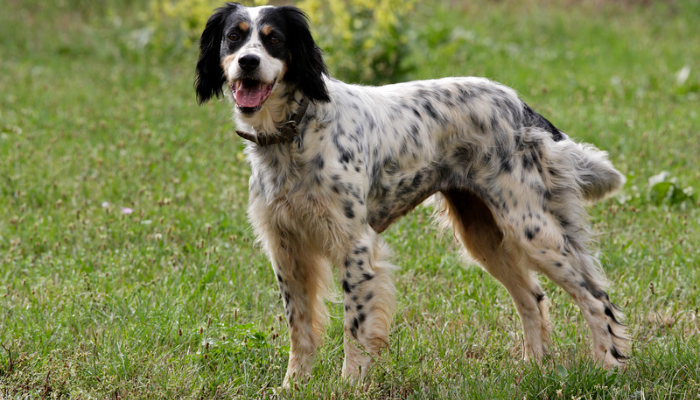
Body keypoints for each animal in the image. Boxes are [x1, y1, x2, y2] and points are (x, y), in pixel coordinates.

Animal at [196, 0, 628, 388]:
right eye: (234, 37)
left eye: (274, 39)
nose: (248, 62)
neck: (296, 132)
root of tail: (521, 106)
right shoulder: (286, 249)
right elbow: (299, 329)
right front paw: (293, 386)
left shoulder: (355, 246)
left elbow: (355, 330)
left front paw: (348, 385)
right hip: (485, 236)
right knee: (533, 299)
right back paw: (533, 367)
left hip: (530, 228)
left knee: (596, 297)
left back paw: (609, 366)